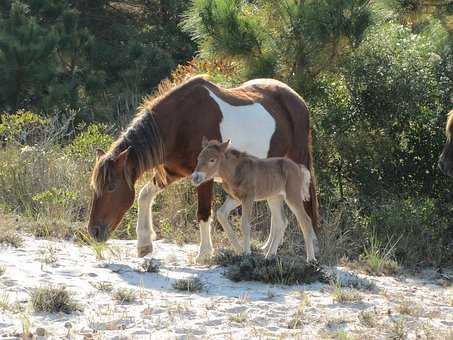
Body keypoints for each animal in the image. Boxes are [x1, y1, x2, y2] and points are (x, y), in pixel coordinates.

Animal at [86, 75, 316, 262]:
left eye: (111, 187)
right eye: (95, 187)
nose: (94, 231)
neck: (181, 121)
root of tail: (298, 100)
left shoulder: (204, 177)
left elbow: (203, 212)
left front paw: (204, 252)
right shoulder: (172, 173)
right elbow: (144, 195)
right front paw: (144, 244)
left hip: (297, 162)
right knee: (278, 216)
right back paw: (267, 249)